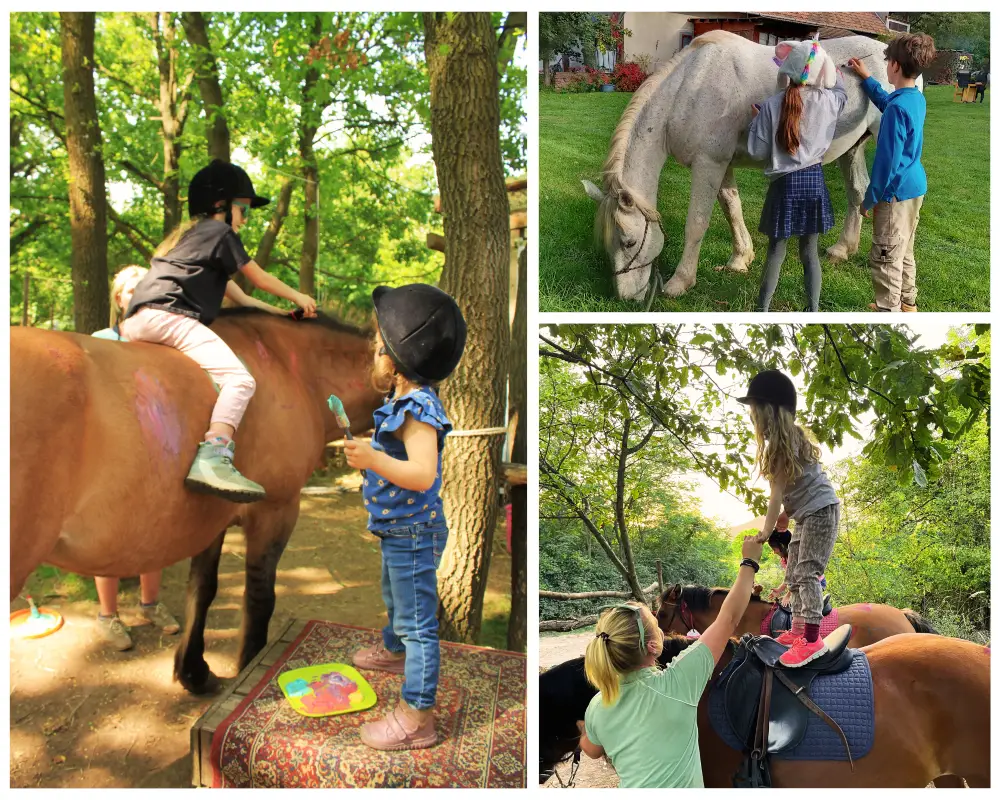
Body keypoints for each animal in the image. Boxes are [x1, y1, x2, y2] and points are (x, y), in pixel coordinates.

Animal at [11, 308, 382, 692]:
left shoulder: (210, 522)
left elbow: (202, 588)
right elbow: (259, 596)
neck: (291, 368)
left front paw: (193, 670)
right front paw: (248, 668)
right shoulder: (276, 511)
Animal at [580, 30, 916, 300]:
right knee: (858, 192)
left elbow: (697, 223)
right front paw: (741, 258)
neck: (688, 89)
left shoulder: (708, 164)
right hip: (853, 149)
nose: (627, 298)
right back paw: (842, 250)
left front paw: (680, 282)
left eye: (629, 241)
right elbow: (732, 207)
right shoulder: (722, 164)